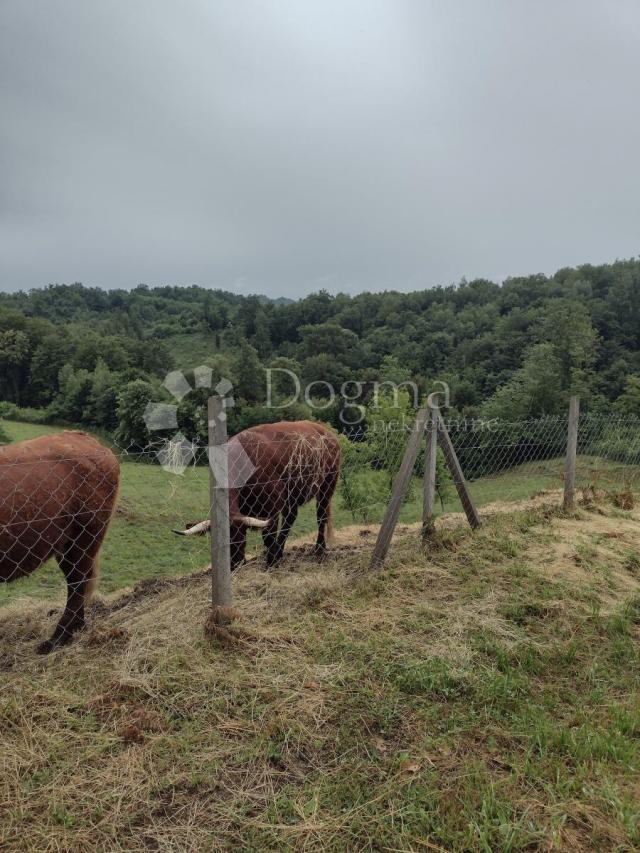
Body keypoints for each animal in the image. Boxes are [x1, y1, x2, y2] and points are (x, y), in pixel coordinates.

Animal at [0, 432, 120, 652]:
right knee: (76, 583)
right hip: (66, 546)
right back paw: (75, 628)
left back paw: (58, 638)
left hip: (84, 541)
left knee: (77, 583)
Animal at [172, 418, 342, 564]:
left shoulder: (272, 507)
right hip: (292, 495)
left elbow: (268, 536)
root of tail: (326, 433)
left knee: (321, 516)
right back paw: (280, 551)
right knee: (290, 518)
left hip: (327, 486)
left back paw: (319, 548)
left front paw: (271, 561)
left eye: (240, 537)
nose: (235, 564)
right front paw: (273, 556)